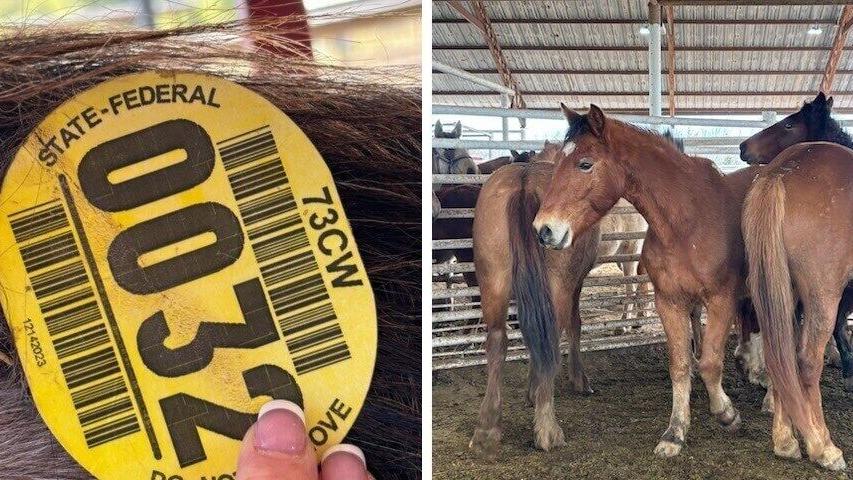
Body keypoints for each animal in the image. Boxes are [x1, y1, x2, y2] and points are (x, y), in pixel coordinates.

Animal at [534, 103, 764, 459]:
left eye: (585, 164)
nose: (544, 229)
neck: (689, 222)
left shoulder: (722, 300)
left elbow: (711, 362)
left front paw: (727, 414)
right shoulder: (668, 301)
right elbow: (679, 365)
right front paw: (675, 433)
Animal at [742, 141, 852, 470]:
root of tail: (780, 172)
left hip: (783, 293)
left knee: (781, 356)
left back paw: (785, 441)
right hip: (822, 294)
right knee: (806, 362)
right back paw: (823, 447)